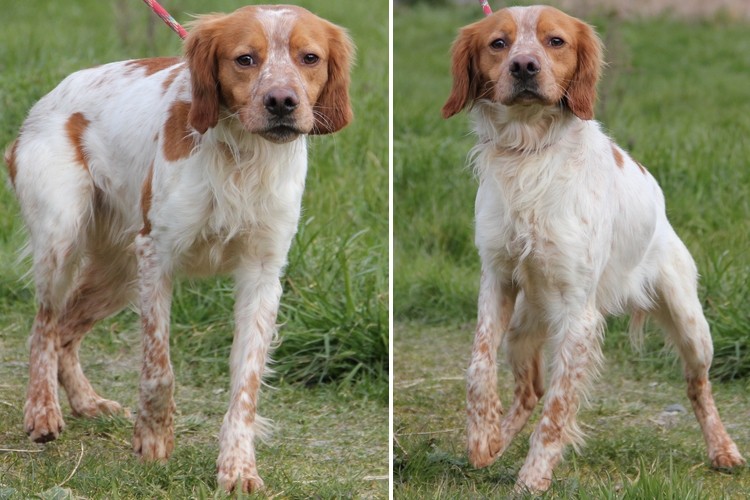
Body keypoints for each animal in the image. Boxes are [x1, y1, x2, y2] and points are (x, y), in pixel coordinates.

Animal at [4, 4, 356, 492]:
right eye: (245, 59)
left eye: (310, 58)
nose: (282, 101)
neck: (242, 158)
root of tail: (44, 103)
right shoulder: (157, 257)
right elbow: (159, 370)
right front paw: (153, 440)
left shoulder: (263, 273)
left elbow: (246, 383)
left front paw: (238, 466)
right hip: (64, 238)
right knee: (44, 327)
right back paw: (42, 410)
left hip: (119, 273)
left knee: (66, 331)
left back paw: (87, 402)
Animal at [444, 3, 748, 492]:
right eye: (498, 43)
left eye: (556, 41)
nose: (524, 66)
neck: (530, 153)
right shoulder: (497, 278)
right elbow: (478, 365)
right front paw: (482, 437)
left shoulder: (579, 315)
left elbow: (557, 412)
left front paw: (533, 477)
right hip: (522, 328)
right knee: (529, 391)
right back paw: (498, 442)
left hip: (691, 324)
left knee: (697, 385)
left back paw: (723, 449)